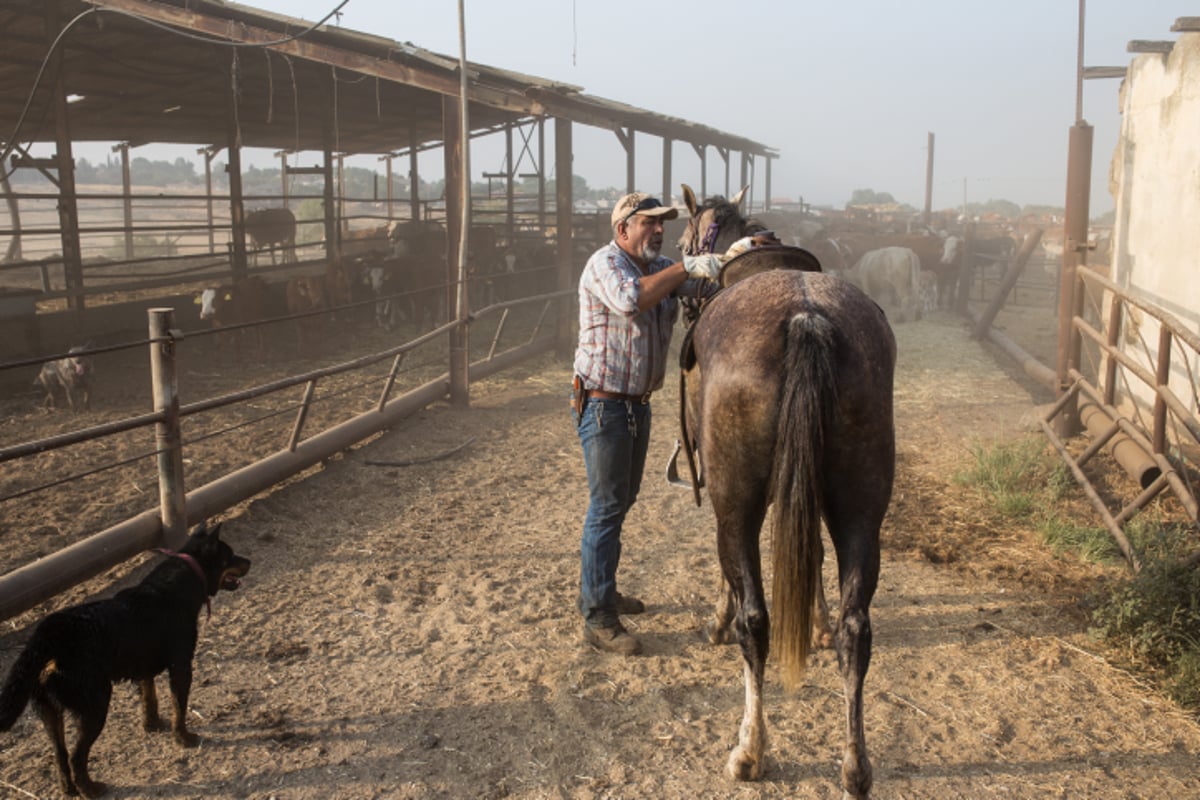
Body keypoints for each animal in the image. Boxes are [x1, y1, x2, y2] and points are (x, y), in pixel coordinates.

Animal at [0, 522, 249, 796]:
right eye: (230, 555)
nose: (248, 561)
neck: (180, 584)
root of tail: (48, 634)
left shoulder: (144, 668)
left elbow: (149, 698)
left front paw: (152, 725)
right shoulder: (181, 666)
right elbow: (179, 706)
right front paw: (183, 738)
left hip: (49, 710)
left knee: (60, 754)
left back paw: (69, 789)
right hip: (95, 704)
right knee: (77, 756)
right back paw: (91, 790)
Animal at [681, 184, 897, 796]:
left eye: (684, 237)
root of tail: (806, 318)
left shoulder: (729, 501)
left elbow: (734, 584)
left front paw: (717, 620)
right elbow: (814, 557)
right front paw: (818, 624)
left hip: (736, 504)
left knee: (757, 621)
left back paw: (750, 751)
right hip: (861, 507)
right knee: (857, 628)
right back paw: (855, 765)